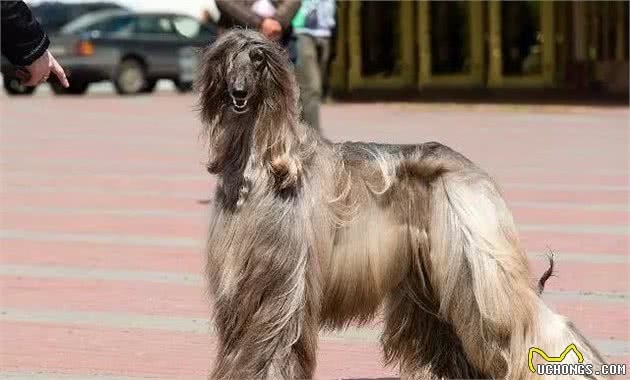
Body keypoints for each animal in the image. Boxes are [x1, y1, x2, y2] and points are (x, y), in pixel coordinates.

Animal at [199, 30, 612, 380]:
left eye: (257, 60)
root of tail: (471, 169)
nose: (238, 93)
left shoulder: (284, 280)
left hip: (477, 261)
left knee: (531, 322)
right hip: (436, 277)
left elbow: (274, 342)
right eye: (228, 59)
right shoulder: (247, 283)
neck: (262, 164)